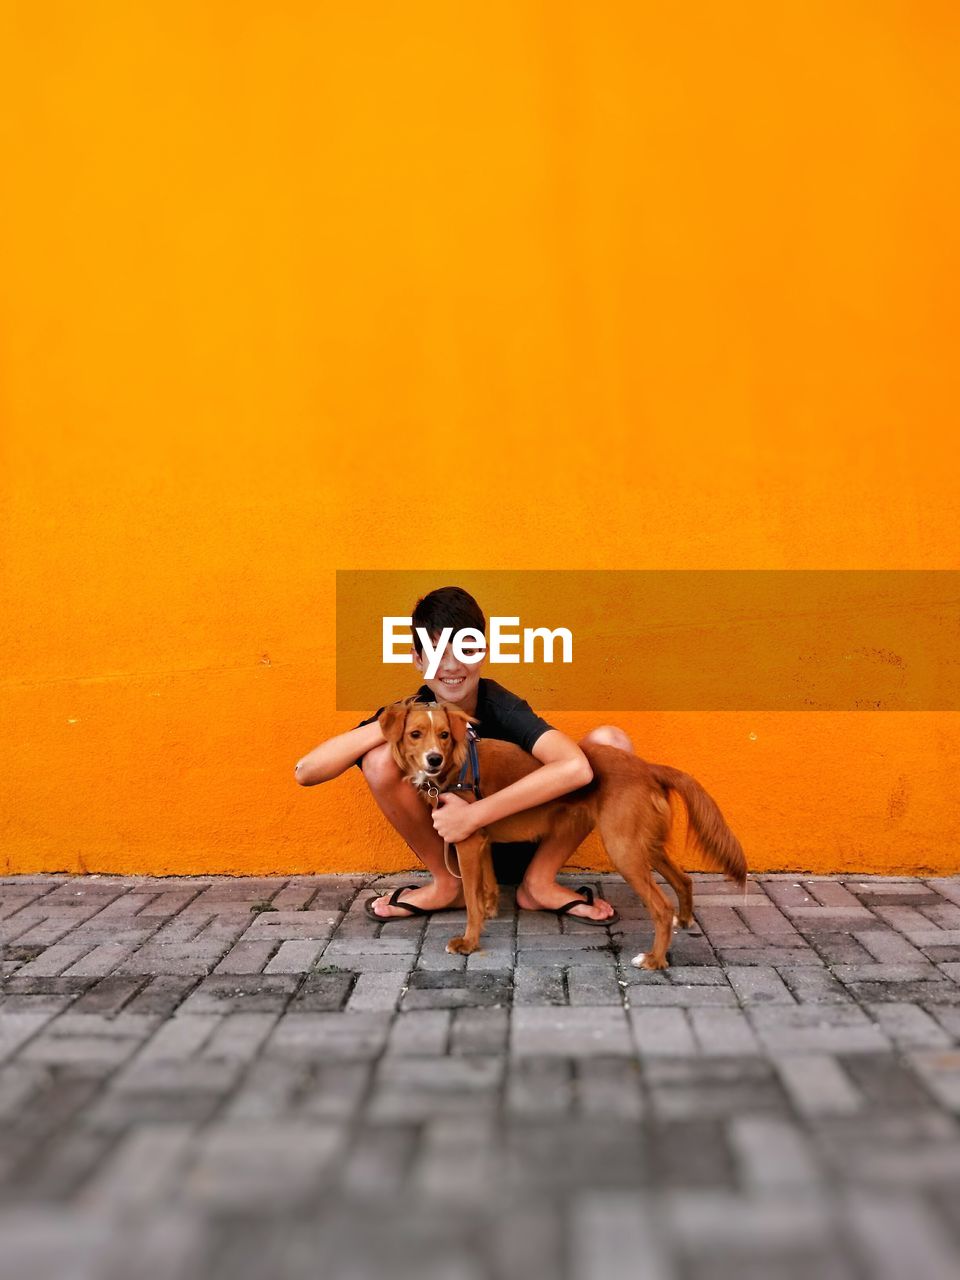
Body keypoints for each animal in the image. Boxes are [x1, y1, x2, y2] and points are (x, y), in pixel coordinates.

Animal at [378, 701, 747, 967]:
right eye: (415, 734)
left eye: (443, 735)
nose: (434, 759)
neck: (456, 765)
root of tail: (645, 767)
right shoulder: (480, 839)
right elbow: (487, 885)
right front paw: (490, 910)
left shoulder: (466, 839)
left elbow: (470, 898)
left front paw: (469, 941)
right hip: (644, 844)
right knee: (684, 879)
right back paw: (683, 919)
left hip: (624, 849)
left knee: (660, 905)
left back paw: (655, 959)